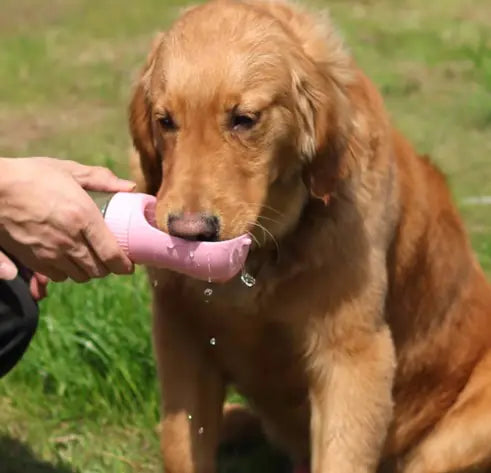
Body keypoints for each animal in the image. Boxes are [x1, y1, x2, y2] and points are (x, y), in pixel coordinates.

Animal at [129, 1, 491, 470]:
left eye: (244, 120)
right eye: (166, 121)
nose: (189, 233)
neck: (261, 255)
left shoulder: (353, 356)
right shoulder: (181, 339)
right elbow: (180, 445)